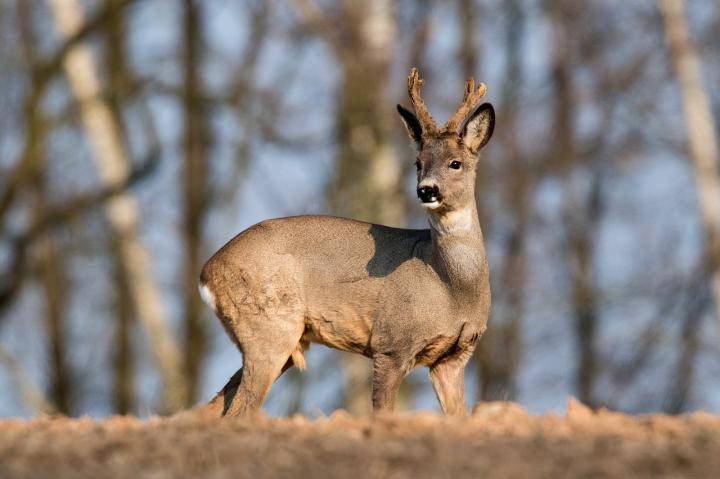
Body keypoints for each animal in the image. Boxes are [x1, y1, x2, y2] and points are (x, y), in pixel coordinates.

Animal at [198, 69, 496, 418]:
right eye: (418, 162)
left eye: (455, 162)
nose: (426, 190)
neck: (452, 287)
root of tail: (206, 273)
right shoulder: (391, 343)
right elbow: (382, 412)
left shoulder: (453, 357)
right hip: (268, 326)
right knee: (240, 410)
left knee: (216, 406)